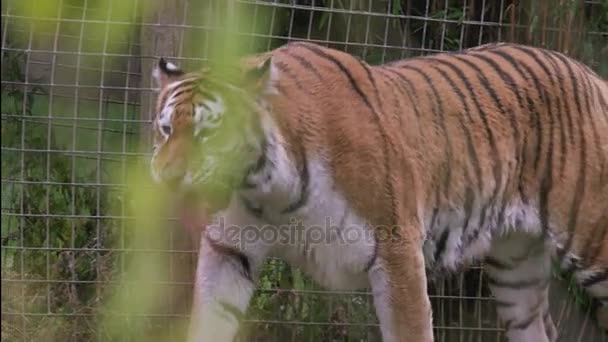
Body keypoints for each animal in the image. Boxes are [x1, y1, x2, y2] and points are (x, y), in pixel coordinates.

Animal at [148, 40, 608, 342]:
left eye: (208, 134)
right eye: (166, 129)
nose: (165, 177)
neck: (270, 193)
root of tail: (591, 75)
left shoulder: (397, 250)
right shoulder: (229, 250)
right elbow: (209, 319)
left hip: (593, 243)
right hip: (516, 268)